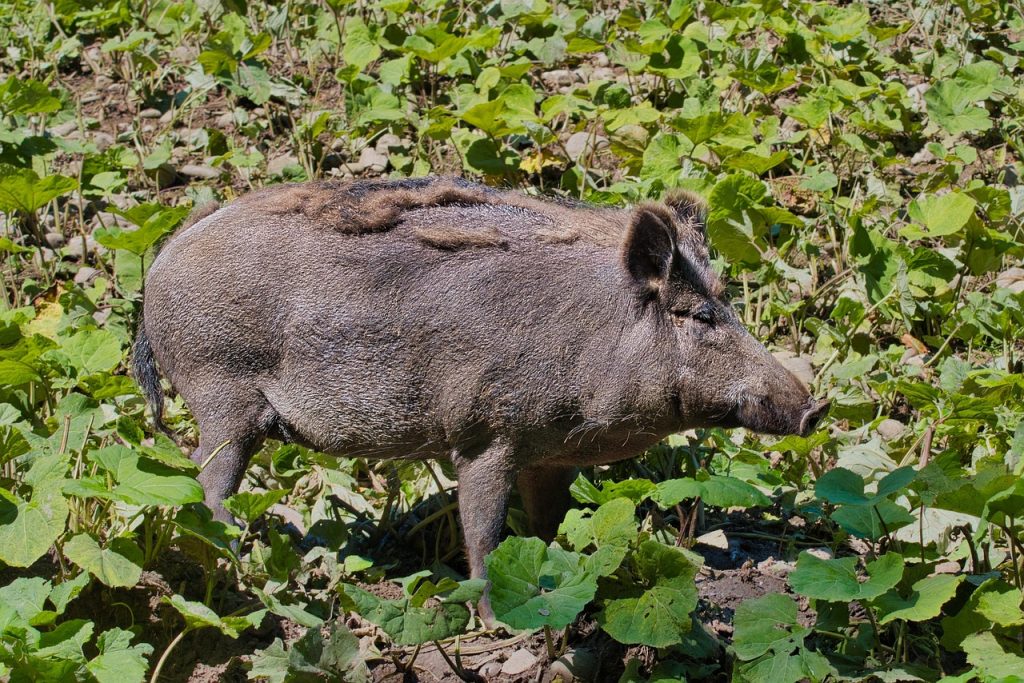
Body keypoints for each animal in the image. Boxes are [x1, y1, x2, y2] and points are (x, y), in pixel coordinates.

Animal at [133, 176, 828, 621]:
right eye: (700, 316)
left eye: (728, 304)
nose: (814, 407)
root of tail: (165, 254)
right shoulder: (485, 436)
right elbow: (485, 532)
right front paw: (496, 622)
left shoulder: (552, 455)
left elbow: (545, 527)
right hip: (221, 396)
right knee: (206, 488)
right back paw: (233, 562)